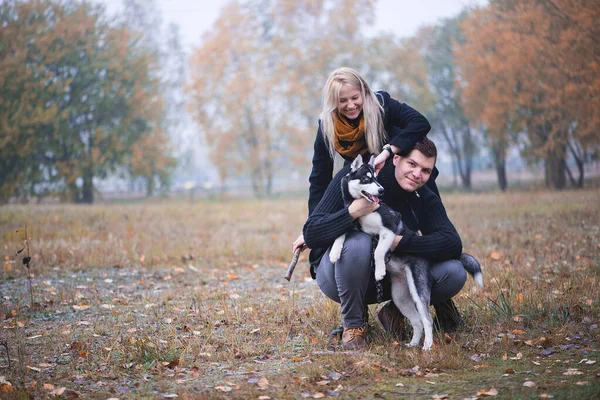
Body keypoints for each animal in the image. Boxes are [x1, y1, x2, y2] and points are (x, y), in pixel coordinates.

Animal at [328, 155, 482, 350]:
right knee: (417, 322)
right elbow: (340, 233)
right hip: (400, 297)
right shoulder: (354, 223)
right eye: (366, 178)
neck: (365, 210)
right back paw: (413, 344)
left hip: (418, 289)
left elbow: (378, 251)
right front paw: (334, 252)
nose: (381, 190)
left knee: (426, 319)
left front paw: (379, 271)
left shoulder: (390, 230)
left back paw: (427, 346)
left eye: (376, 178)